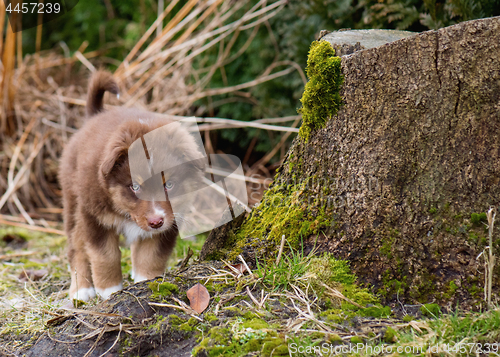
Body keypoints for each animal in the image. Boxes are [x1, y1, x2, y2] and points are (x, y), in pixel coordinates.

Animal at [60, 69, 203, 300]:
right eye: (135, 187)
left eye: (169, 185)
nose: (156, 222)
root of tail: (94, 116)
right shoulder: (94, 216)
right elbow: (104, 254)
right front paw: (109, 290)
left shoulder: (171, 219)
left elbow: (151, 255)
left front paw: (147, 282)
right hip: (73, 200)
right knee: (76, 247)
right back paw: (81, 290)